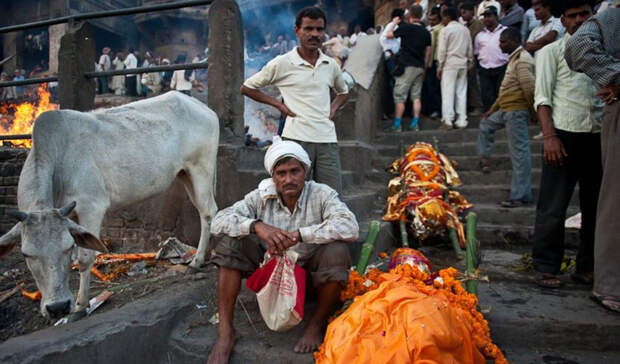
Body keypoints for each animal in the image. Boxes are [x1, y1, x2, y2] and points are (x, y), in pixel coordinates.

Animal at [0, 92, 219, 320]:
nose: (58, 307)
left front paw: (80, 306)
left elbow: (85, 257)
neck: (59, 161)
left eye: (67, 247)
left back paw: (197, 261)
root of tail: (201, 106)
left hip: (201, 169)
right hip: (185, 174)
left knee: (208, 212)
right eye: (26, 254)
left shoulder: (91, 207)